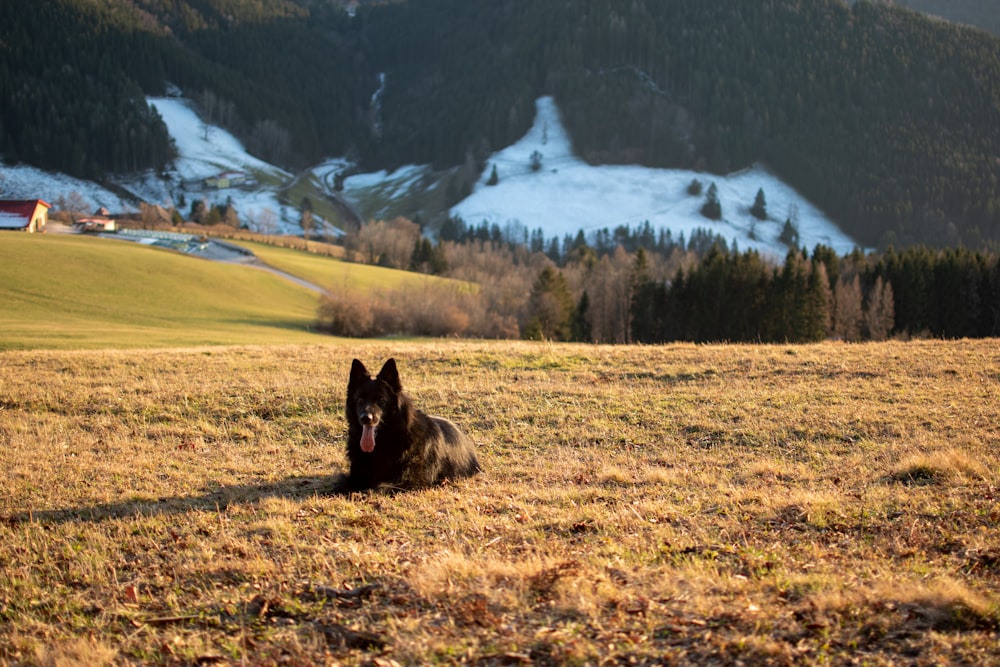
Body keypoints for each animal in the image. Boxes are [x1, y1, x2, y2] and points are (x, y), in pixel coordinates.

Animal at [338, 358, 482, 494]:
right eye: (360, 400)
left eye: (381, 400)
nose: (366, 418)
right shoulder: (355, 475)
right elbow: (341, 484)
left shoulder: (411, 481)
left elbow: (382, 486)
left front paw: (362, 493)